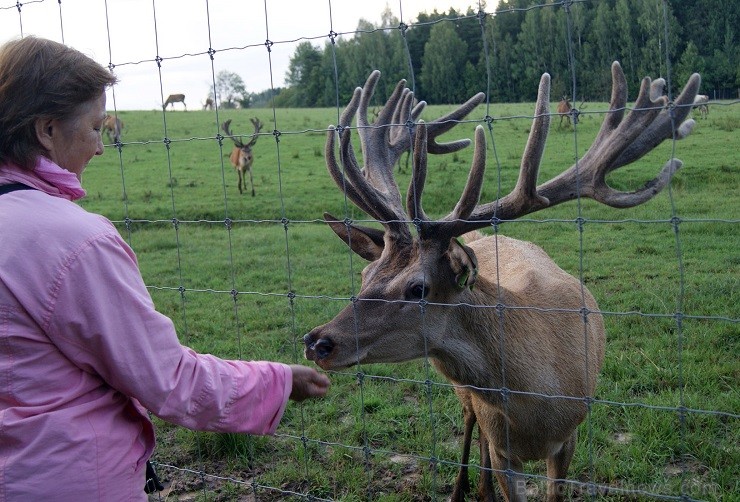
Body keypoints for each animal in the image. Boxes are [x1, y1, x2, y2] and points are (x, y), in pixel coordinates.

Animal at [302, 63, 700, 502]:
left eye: (418, 288)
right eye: (365, 275)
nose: (318, 341)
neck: (537, 401)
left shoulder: (570, 436)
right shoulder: (501, 448)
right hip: (465, 400)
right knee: (469, 429)